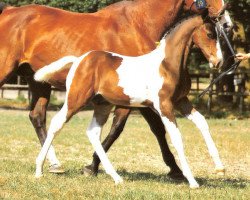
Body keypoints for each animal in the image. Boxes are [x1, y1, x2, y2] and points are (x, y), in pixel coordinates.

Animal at [0, 0, 230, 178]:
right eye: (210, 33)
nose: (227, 22)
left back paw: (55, 164)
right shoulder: (134, 98)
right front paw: (92, 166)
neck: (138, 24)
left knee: (37, 116)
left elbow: (156, 128)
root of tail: (8, 11)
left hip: (38, 81)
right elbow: (124, 128)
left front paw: (178, 170)